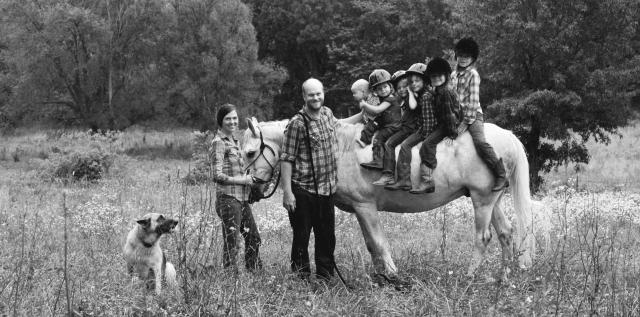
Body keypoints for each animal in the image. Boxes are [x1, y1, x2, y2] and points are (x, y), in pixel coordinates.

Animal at [241, 118, 552, 278]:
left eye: (249, 151)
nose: (252, 189)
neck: (338, 147)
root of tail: (506, 136)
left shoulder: (365, 206)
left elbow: (379, 243)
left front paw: (392, 276)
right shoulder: (360, 210)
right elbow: (370, 245)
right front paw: (380, 275)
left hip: (482, 200)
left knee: (483, 237)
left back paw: (470, 275)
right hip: (492, 199)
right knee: (506, 233)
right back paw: (506, 276)